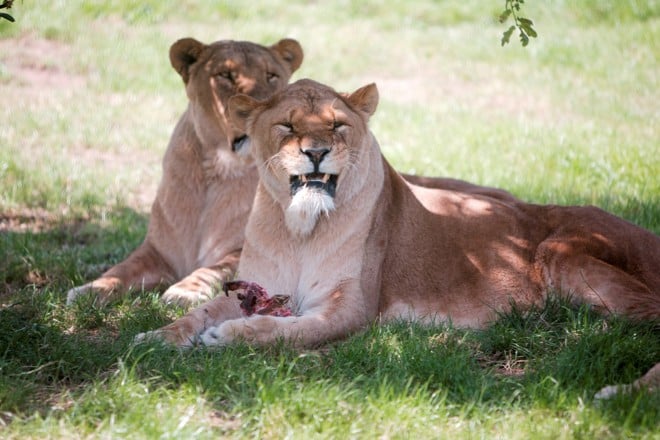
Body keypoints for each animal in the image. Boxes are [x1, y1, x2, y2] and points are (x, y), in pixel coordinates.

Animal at [67, 37, 304, 306]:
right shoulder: (158, 251)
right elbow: (122, 268)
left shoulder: (249, 253)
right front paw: (91, 288)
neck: (219, 169)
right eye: (225, 75)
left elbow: (215, 269)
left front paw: (184, 291)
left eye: (271, 75)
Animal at [137, 78, 656, 396]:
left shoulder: (350, 309)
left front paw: (228, 336)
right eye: (287, 125)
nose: (317, 152)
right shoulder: (251, 287)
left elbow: (283, 332)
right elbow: (197, 313)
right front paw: (154, 337)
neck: (298, 229)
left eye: (337, 125)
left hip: (562, 252)